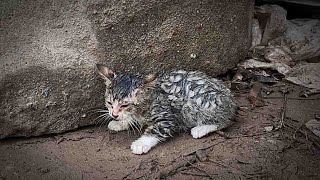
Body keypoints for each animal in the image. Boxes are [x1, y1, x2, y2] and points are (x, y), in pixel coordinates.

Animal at [96, 64, 236, 154]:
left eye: (124, 105)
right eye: (109, 103)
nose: (114, 114)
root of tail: (231, 98)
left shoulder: (166, 116)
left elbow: (155, 129)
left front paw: (141, 143)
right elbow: (132, 119)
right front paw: (119, 123)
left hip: (195, 104)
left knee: (226, 121)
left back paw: (200, 129)